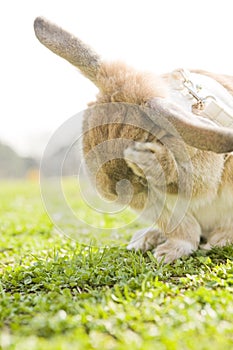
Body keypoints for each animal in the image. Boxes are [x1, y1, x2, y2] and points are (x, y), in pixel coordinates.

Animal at [33, 17, 233, 262]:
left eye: (149, 137)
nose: (113, 189)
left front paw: (145, 159)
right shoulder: (155, 205)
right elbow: (181, 231)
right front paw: (166, 253)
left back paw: (218, 240)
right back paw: (146, 239)